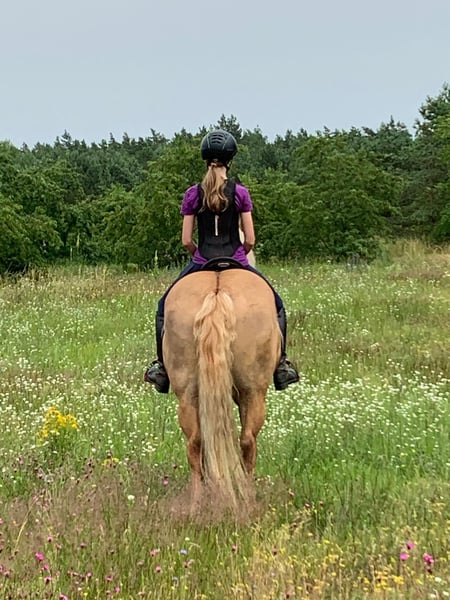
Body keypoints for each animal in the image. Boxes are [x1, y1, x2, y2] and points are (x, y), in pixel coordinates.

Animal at [163, 266, 281, 512]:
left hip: (188, 394)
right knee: (248, 442)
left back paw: (197, 502)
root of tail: (216, 294)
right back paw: (247, 497)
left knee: (196, 442)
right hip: (254, 393)